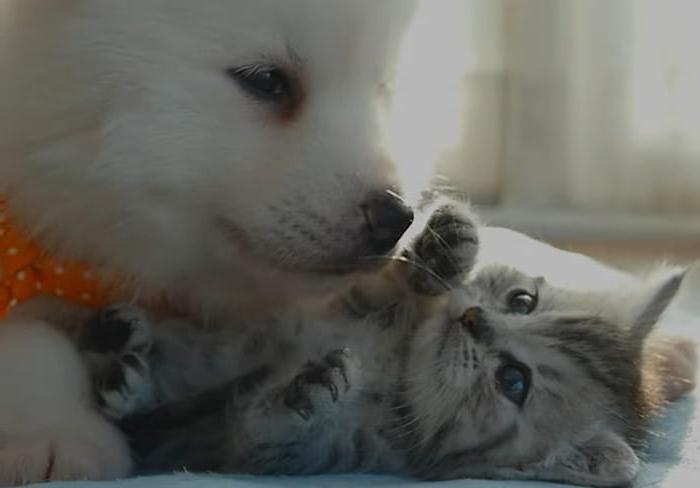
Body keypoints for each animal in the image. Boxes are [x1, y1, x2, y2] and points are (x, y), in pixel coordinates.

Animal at [79, 203, 696, 488]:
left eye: (514, 381)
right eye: (523, 301)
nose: (473, 319)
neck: (393, 359)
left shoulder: (313, 452)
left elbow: (266, 434)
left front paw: (307, 393)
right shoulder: (311, 314)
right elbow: (200, 356)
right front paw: (446, 244)